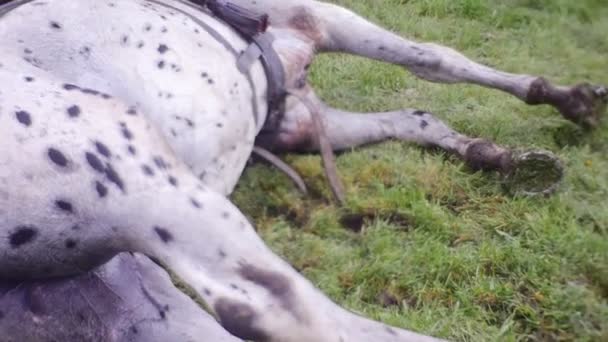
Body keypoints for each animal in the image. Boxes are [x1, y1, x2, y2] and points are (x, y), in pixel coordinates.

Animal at [0, 0, 604, 340]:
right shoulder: (316, 15)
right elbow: (436, 59)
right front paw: (570, 99)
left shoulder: (298, 119)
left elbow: (418, 110)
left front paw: (506, 155)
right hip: (151, 185)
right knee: (296, 313)